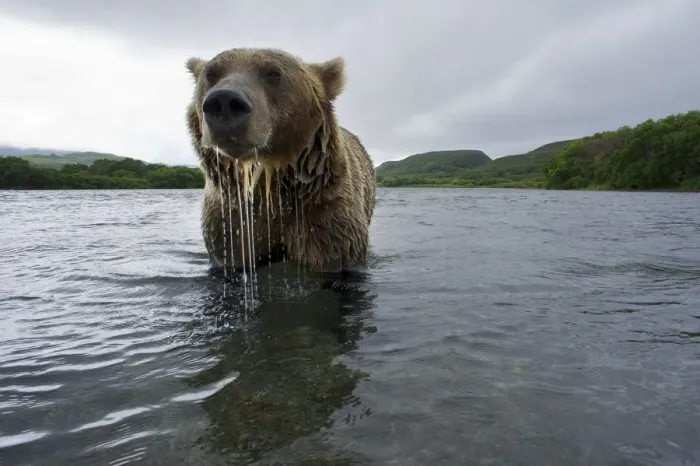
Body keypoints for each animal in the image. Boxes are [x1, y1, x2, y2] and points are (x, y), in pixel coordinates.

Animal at [184, 47, 376, 275]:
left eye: (273, 73)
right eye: (211, 73)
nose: (224, 101)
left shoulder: (324, 211)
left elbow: (333, 252)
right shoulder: (229, 218)